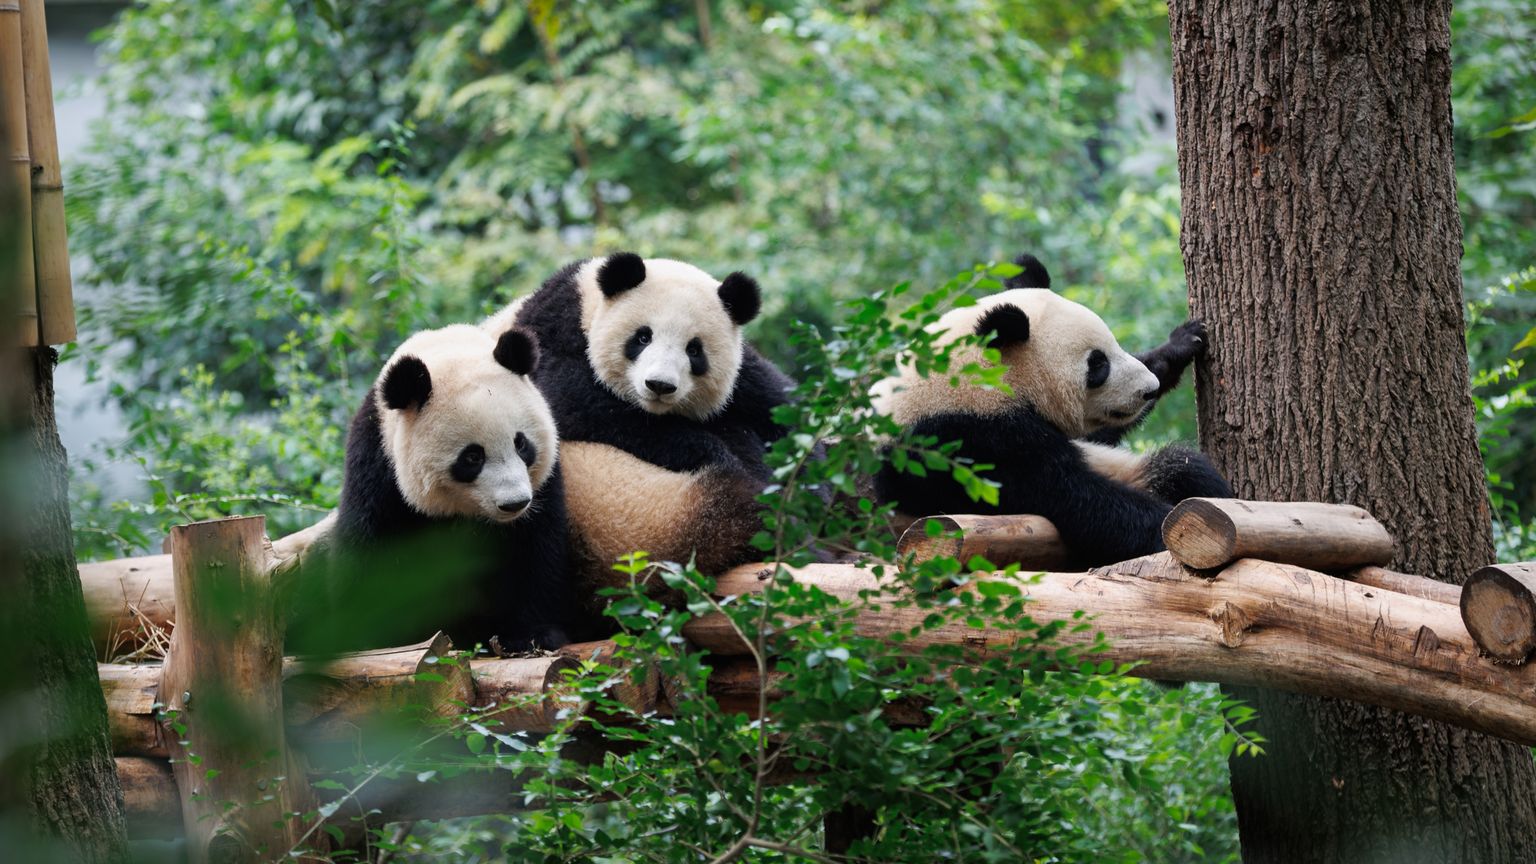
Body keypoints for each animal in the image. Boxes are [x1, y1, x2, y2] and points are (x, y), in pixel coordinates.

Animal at [291, 323, 576, 654]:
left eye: (521, 444)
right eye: (472, 457)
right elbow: (370, 551)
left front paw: (531, 635)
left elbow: (534, 551)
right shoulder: (378, 466)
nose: (514, 503)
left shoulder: (543, 486)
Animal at [486, 252, 794, 621]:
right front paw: (713, 450)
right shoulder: (549, 334)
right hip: (634, 519)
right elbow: (571, 399)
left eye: (695, 350)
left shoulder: (744, 376)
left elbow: (775, 402)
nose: (660, 385)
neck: (587, 299)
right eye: (643, 337)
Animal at [872, 254, 1231, 568]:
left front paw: (1180, 345)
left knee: (1181, 467)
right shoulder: (971, 441)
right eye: (1097, 363)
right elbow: (1074, 499)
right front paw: (1165, 530)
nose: (1149, 389)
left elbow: (1099, 435)